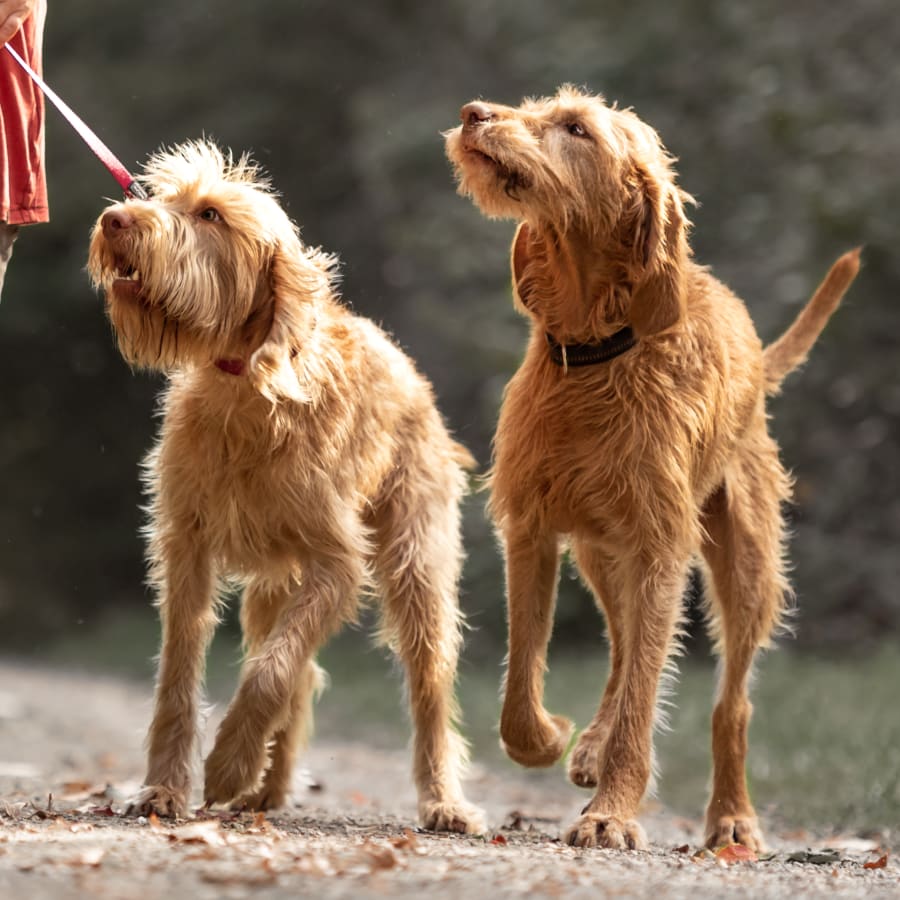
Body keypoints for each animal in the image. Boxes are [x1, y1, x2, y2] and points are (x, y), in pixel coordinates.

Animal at [86, 141, 486, 836]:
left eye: (211, 215)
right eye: (161, 197)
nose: (116, 219)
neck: (242, 384)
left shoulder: (337, 562)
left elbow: (273, 672)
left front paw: (227, 766)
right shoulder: (186, 550)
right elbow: (181, 675)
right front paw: (163, 789)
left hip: (415, 572)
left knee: (423, 687)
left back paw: (442, 801)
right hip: (274, 584)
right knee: (295, 663)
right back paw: (266, 788)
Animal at [442, 86, 856, 852]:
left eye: (576, 129)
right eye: (538, 107)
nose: (473, 113)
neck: (595, 354)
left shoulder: (662, 546)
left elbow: (644, 695)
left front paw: (611, 812)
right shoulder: (532, 531)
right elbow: (522, 680)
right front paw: (552, 739)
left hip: (743, 567)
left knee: (728, 700)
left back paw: (730, 815)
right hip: (601, 555)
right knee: (621, 646)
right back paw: (589, 747)